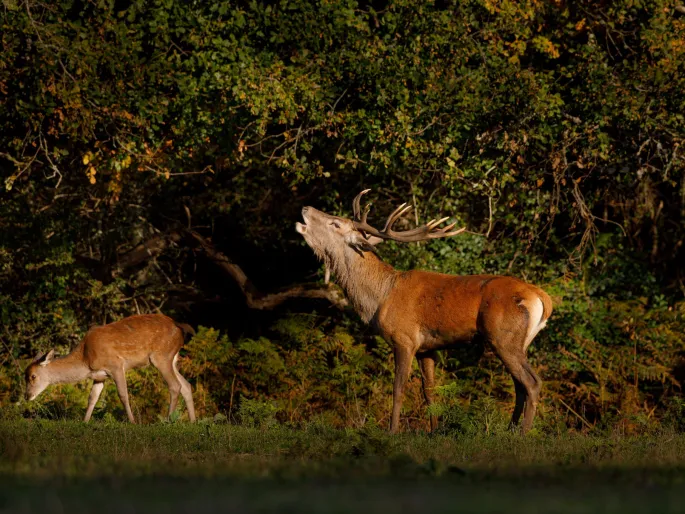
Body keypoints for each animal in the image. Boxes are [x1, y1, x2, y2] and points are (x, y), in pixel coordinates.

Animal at [24, 314, 195, 422]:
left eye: (33, 376)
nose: (27, 396)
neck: (85, 360)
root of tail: (179, 327)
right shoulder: (100, 376)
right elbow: (92, 398)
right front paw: (84, 421)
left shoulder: (116, 365)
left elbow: (123, 395)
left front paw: (132, 422)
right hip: (172, 358)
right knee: (186, 385)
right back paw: (193, 422)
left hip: (160, 356)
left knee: (175, 386)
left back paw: (167, 420)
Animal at [294, 190, 552, 430]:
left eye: (335, 223)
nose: (305, 208)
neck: (380, 298)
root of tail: (542, 298)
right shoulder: (427, 348)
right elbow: (429, 391)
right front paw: (433, 430)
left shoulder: (404, 338)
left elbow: (398, 389)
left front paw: (392, 432)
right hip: (518, 342)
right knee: (519, 386)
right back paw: (509, 430)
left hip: (503, 336)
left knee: (532, 382)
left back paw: (523, 433)